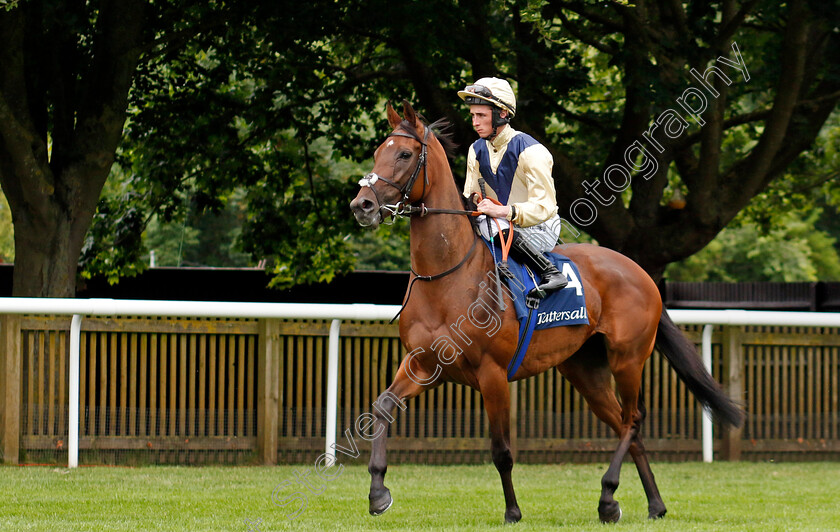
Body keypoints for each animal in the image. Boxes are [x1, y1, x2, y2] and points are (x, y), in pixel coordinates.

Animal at [348, 102, 740, 524]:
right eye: (377, 152)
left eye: (404, 154)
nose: (361, 205)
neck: (447, 276)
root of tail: (640, 273)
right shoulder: (423, 364)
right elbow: (382, 407)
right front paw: (378, 493)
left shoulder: (492, 374)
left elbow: (502, 450)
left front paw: (513, 511)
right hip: (585, 370)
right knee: (624, 423)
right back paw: (653, 504)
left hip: (628, 358)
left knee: (632, 420)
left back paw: (608, 495)